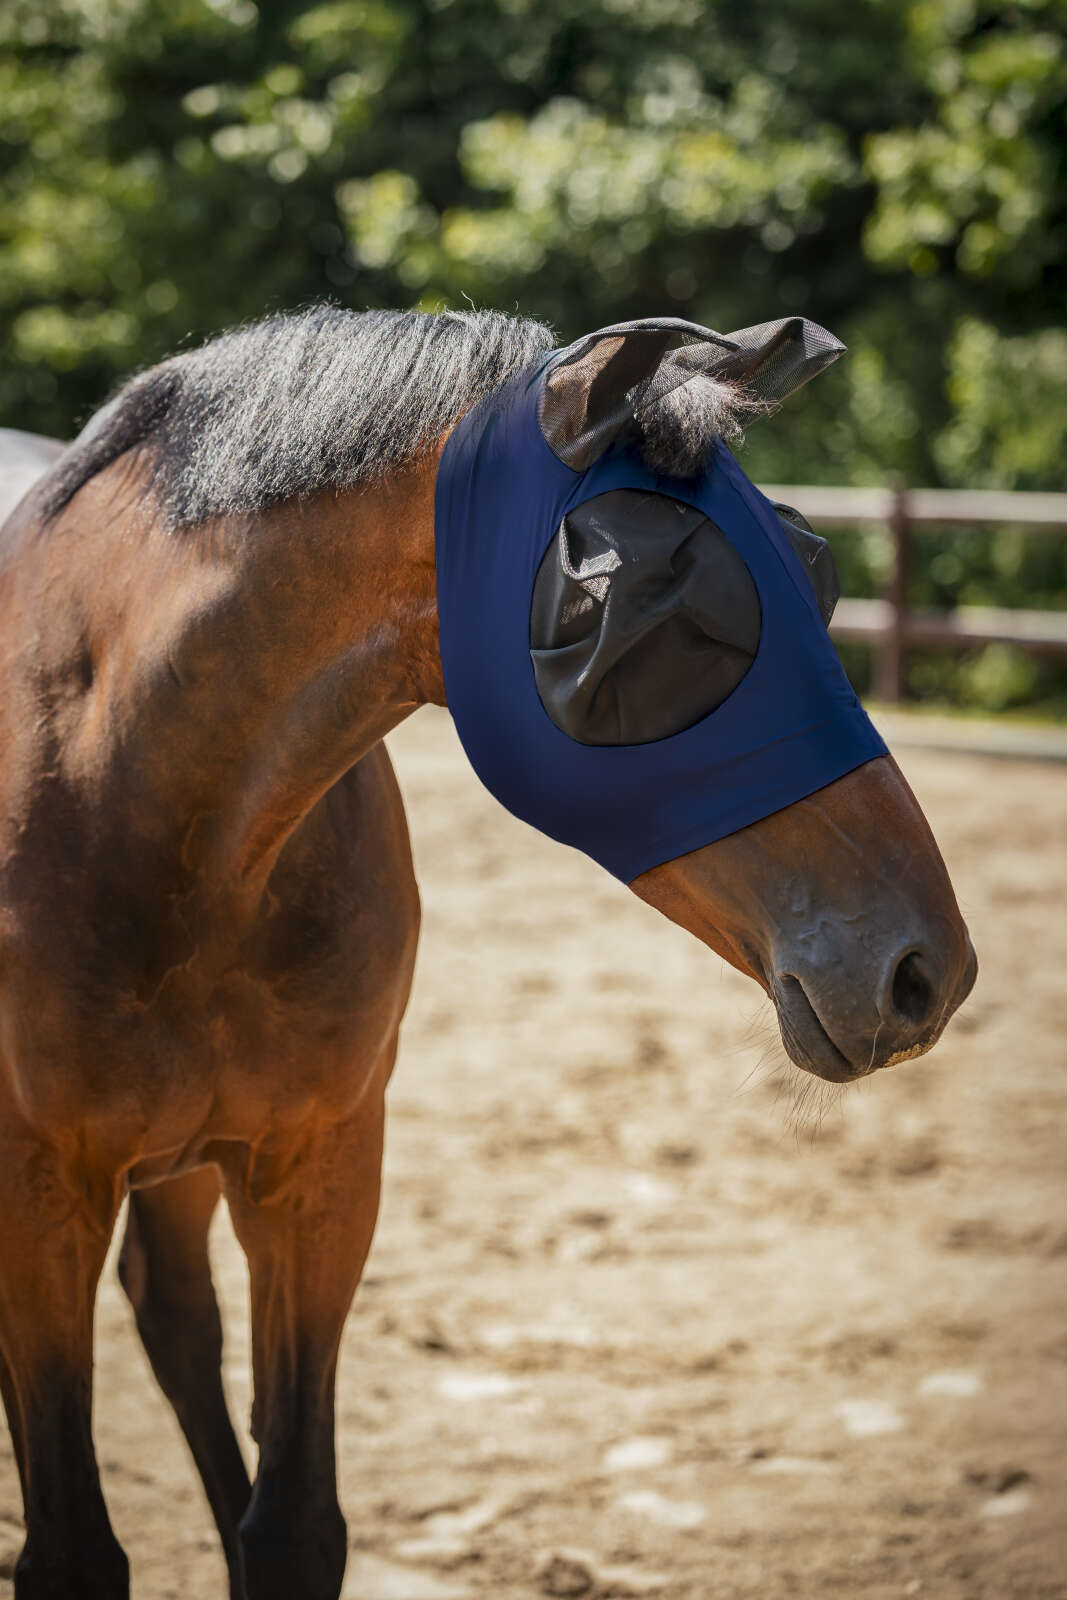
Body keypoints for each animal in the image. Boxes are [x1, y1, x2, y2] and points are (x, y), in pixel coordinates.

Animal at [0, 306, 976, 1600]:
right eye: (642, 606)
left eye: (810, 569)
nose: (926, 970)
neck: (138, 794)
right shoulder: (38, 1194)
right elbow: (70, 1546)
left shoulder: (317, 1170)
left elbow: (292, 1521)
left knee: (175, 1320)